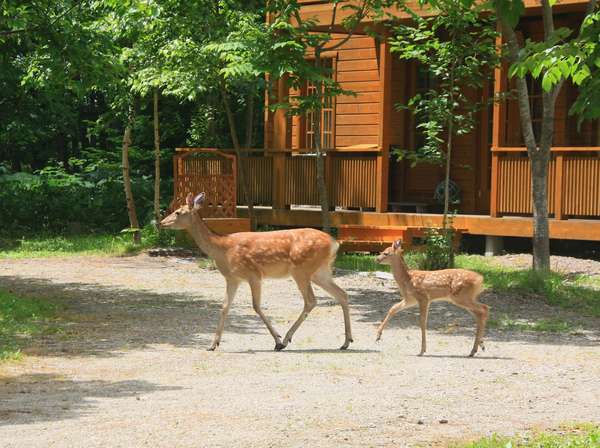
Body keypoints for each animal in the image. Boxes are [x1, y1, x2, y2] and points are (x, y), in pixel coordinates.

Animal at [162, 191, 354, 352]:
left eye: (178, 212)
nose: (162, 222)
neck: (222, 249)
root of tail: (334, 243)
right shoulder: (232, 278)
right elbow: (225, 307)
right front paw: (212, 344)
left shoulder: (253, 274)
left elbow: (256, 306)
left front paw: (276, 340)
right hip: (320, 272)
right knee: (342, 294)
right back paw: (346, 342)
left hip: (302, 270)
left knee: (311, 301)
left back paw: (285, 340)